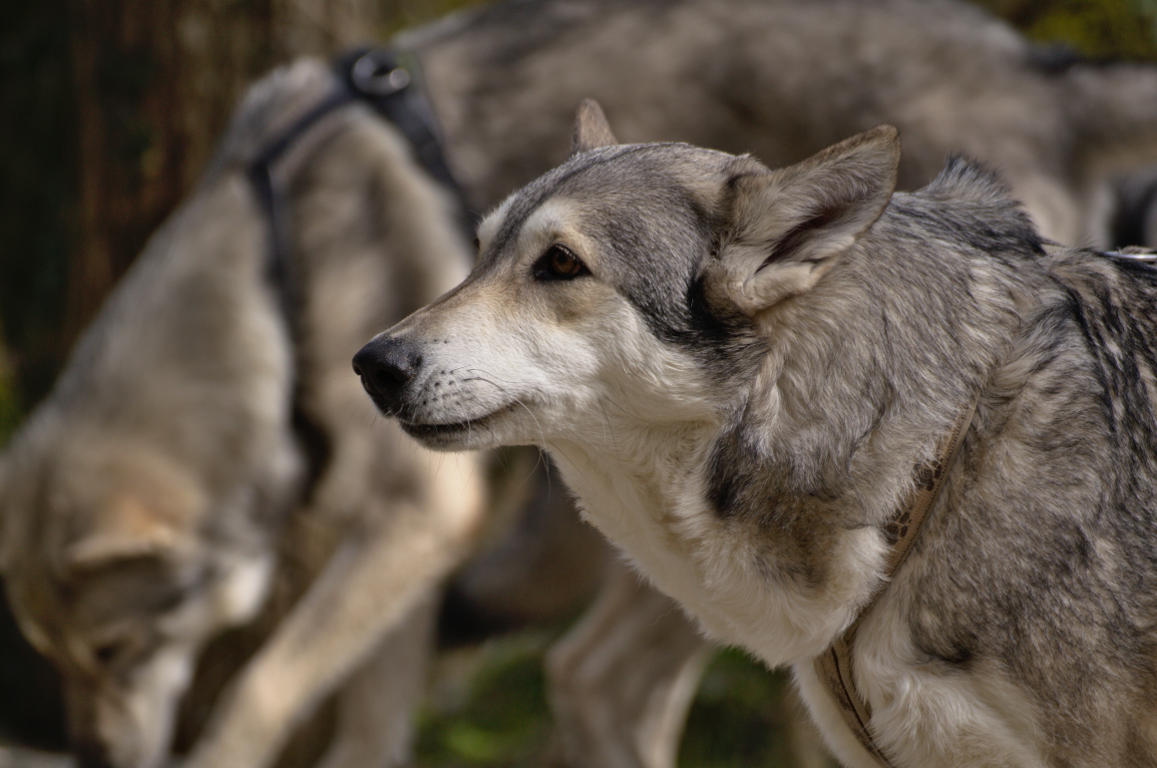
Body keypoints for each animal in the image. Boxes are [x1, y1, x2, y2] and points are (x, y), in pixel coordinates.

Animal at [0, 59, 485, 768]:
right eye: (51, 658)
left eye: (116, 650)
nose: (92, 758)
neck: (275, 289)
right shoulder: (399, 543)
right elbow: (375, 720)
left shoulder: (426, 507)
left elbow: (260, 687)